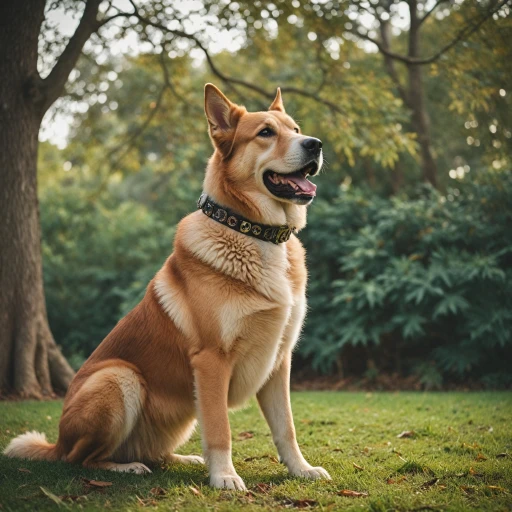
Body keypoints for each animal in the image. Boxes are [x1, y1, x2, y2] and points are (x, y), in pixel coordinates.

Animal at [5, 84, 332, 492]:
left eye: (296, 128)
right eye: (266, 133)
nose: (315, 144)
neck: (254, 233)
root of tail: (57, 441)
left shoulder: (279, 362)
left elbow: (286, 428)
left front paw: (301, 469)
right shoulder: (211, 361)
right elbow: (221, 430)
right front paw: (225, 477)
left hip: (179, 412)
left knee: (154, 454)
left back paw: (184, 459)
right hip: (120, 377)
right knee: (80, 459)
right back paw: (124, 468)